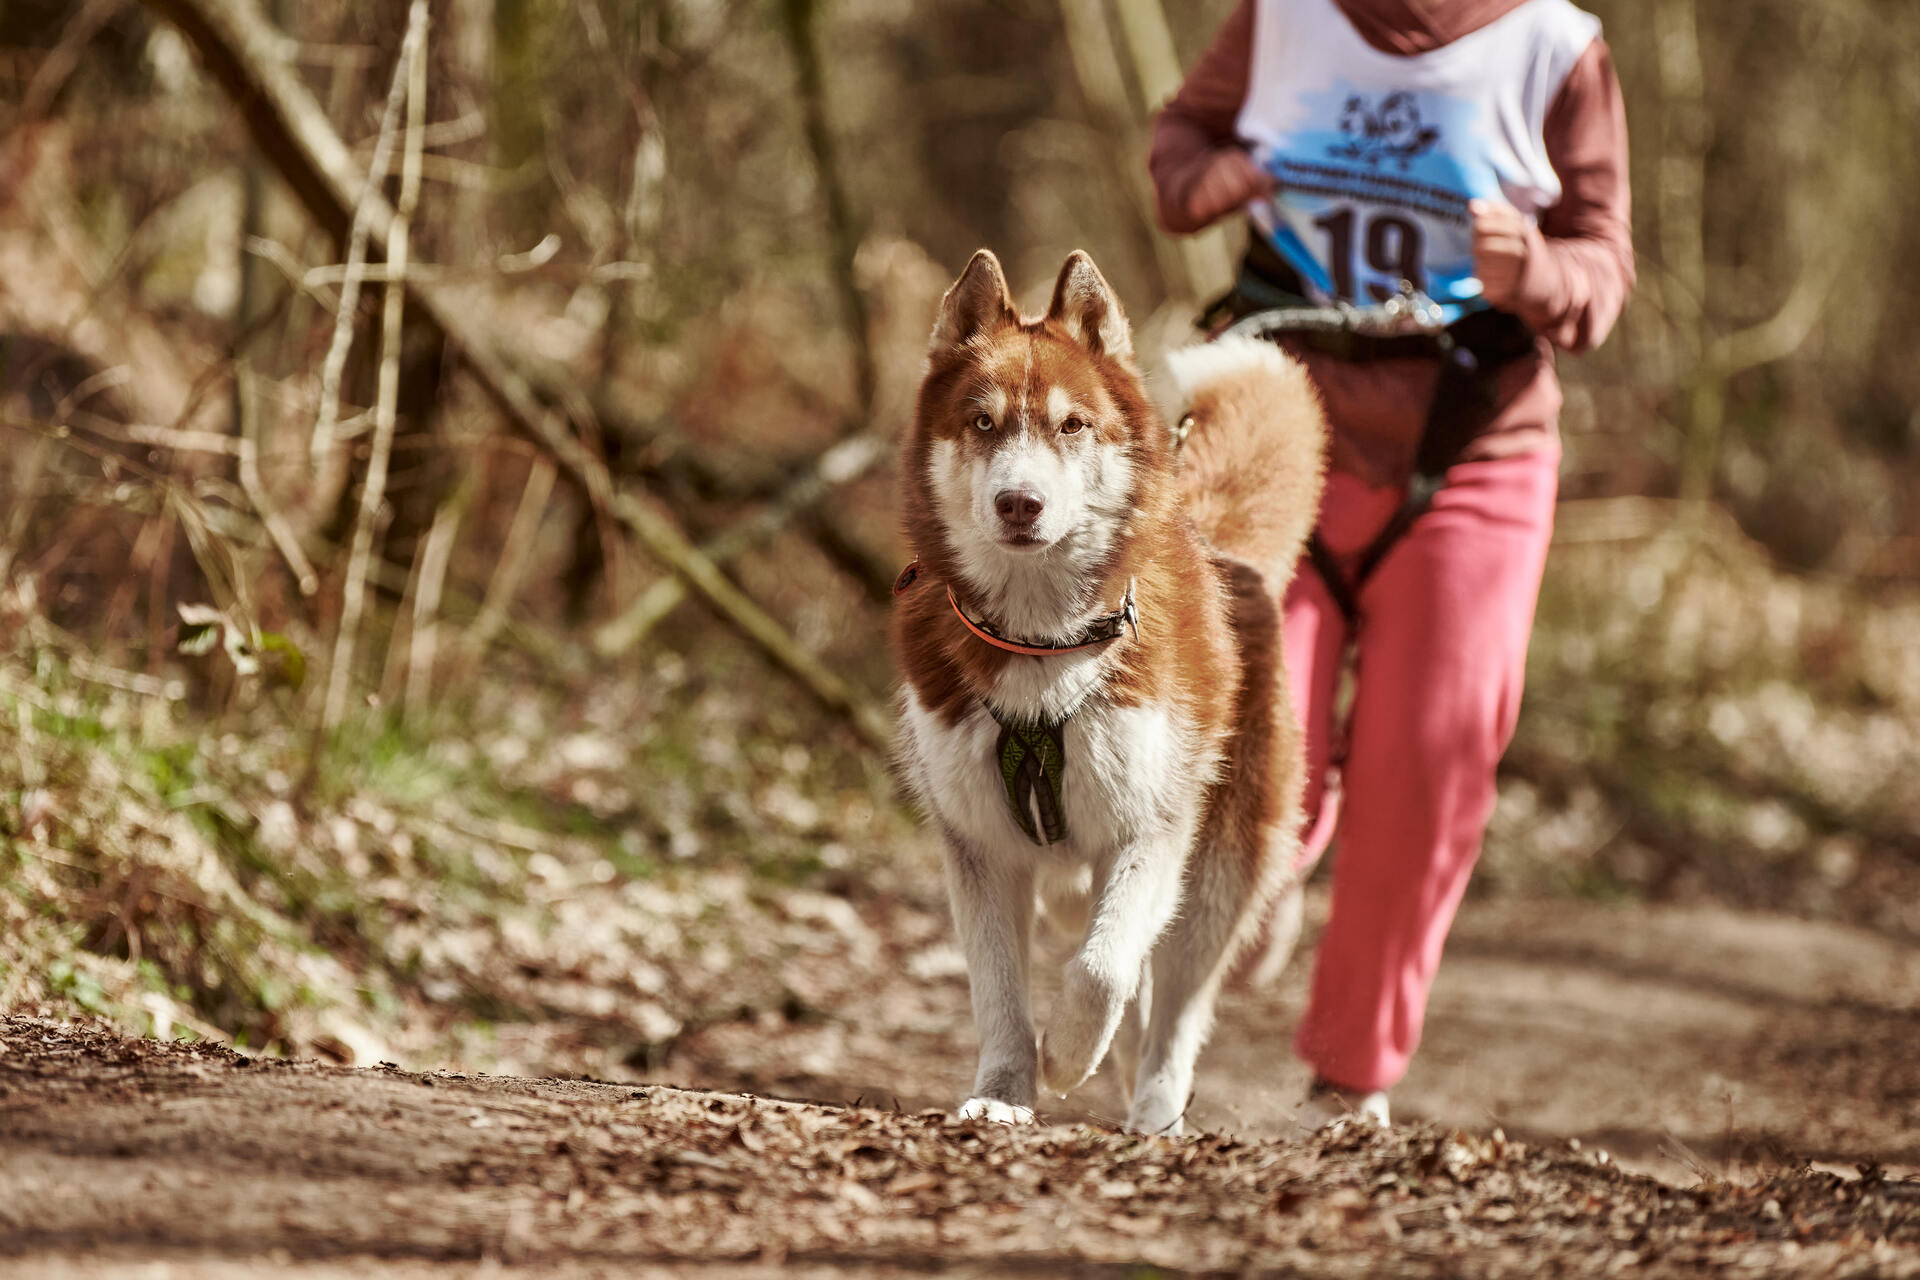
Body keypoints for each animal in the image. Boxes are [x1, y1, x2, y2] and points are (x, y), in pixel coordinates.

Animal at [890, 247, 1328, 1128]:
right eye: (982, 423)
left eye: (1072, 424)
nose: (1018, 503)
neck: (1037, 648)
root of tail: (1223, 552)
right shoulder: (979, 845)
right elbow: (999, 992)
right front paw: (1003, 1095)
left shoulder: (1149, 827)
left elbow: (1102, 971)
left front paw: (1065, 1053)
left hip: (1219, 866)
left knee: (1174, 1008)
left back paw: (1155, 1112)